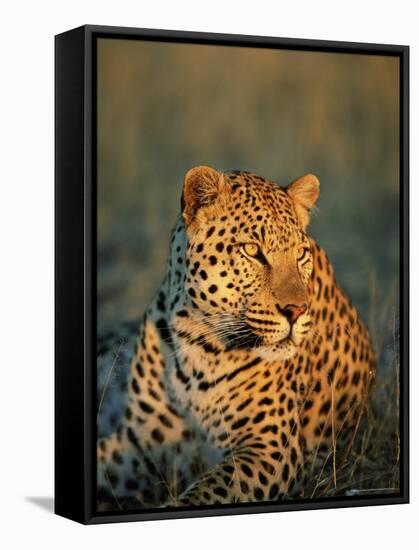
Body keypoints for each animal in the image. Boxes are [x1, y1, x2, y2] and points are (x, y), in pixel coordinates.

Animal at [97, 165, 376, 512]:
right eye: (252, 251)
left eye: (301, 254)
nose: (297, 310)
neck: (198, 339)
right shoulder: (139, 442)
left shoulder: (268, 448)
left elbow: (206, 491)